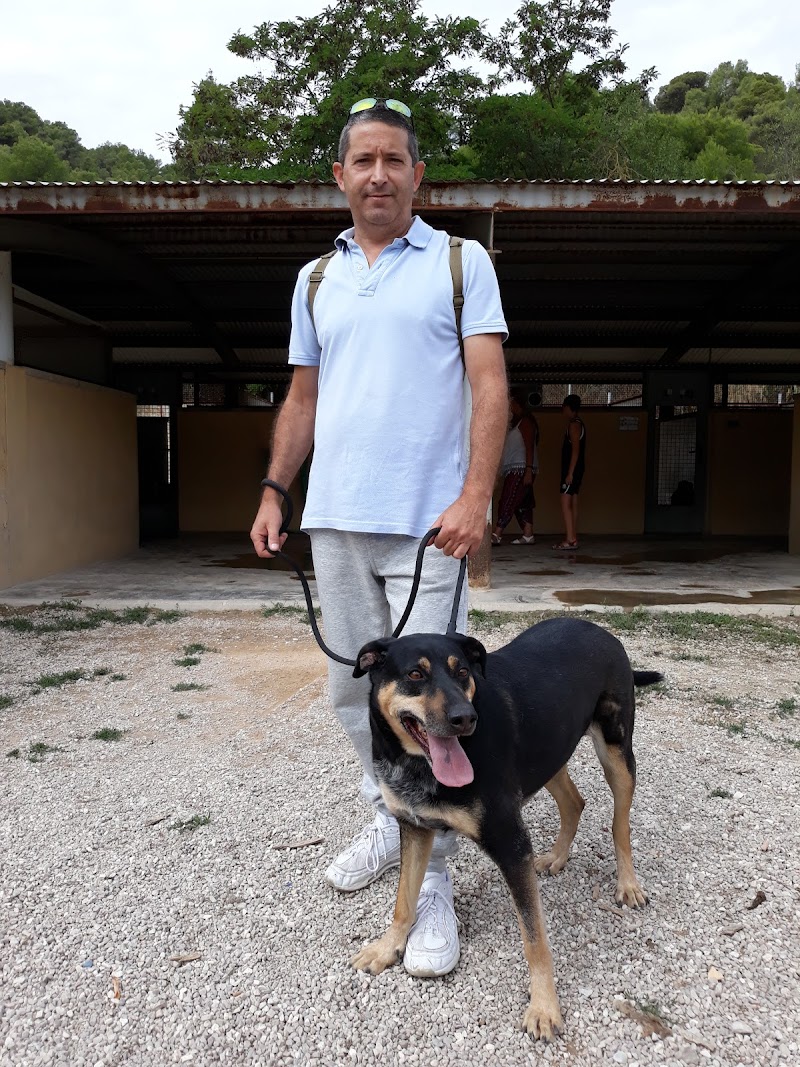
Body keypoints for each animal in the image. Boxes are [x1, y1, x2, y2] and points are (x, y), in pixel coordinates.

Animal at [349, 616, 662, 1039]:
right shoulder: (414, 826)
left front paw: (544, 1006)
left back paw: (628, 884)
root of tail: (598, 627)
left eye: (462, 672)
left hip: (616, 751)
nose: (465, 718)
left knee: (619, 824)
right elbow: (404, 901)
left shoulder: (511, 844)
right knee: (574, 802)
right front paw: (386, 948)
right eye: (415, 674)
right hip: (548, 753)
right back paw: (557, 857)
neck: (416, 765)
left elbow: (535, 938)